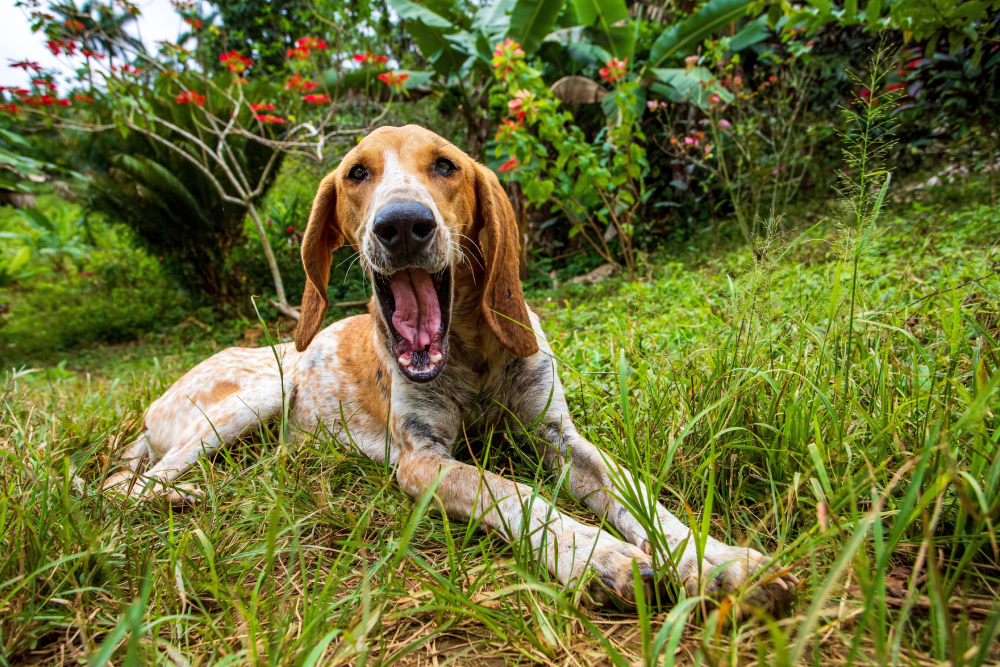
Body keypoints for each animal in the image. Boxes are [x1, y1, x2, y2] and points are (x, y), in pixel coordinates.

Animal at [107, 122, 796, 612]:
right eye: (357, 173)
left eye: (445, 166)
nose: (403, 225)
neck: (469, 349)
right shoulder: (423, 460)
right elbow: (514, 493)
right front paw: (602, 558)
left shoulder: (561, 437)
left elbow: (639, 493)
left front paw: (717, 560)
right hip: (263, 392)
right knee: (125, 485)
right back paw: (184, 495)